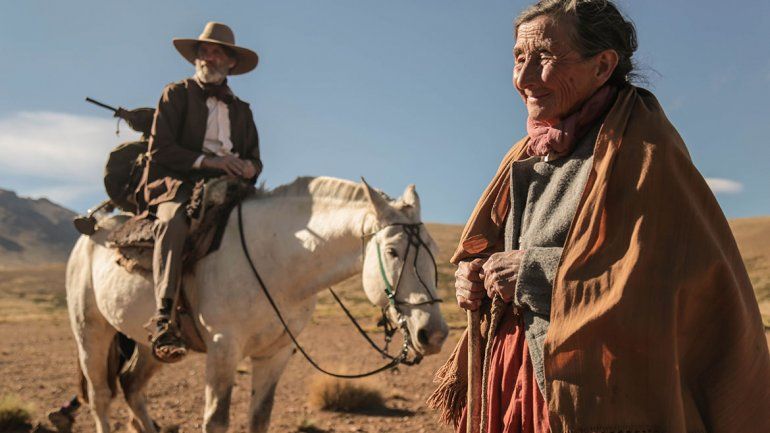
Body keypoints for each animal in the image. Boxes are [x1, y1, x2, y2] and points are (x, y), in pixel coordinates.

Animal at [65, 176, 449, 433]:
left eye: (434, 250)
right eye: (393, 251)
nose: (433, 333)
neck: (274, 261)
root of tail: (94, 231)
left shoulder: (274, 353)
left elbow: (260, 418)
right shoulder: (224, 349)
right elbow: (216, 421)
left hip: (151, 345)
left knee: (132, 387)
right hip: (91, 333)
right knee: (101, 396)